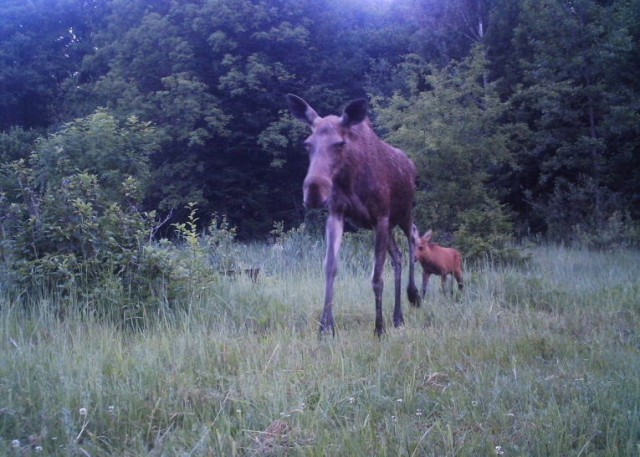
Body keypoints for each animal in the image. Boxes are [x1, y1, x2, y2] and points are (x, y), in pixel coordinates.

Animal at [288, 93, 422, 334]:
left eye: (340, 143)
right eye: (307, 144)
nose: (314, 191)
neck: (350, 179)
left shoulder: (381, 216)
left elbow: (377, 277)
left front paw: (379, 328)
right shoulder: (337, 214)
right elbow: (331, 267)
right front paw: (326, 327)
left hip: (404, 213)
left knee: (413, 237)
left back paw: (413, 295)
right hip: (389, 225)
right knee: (397, 257)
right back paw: (398, 317)